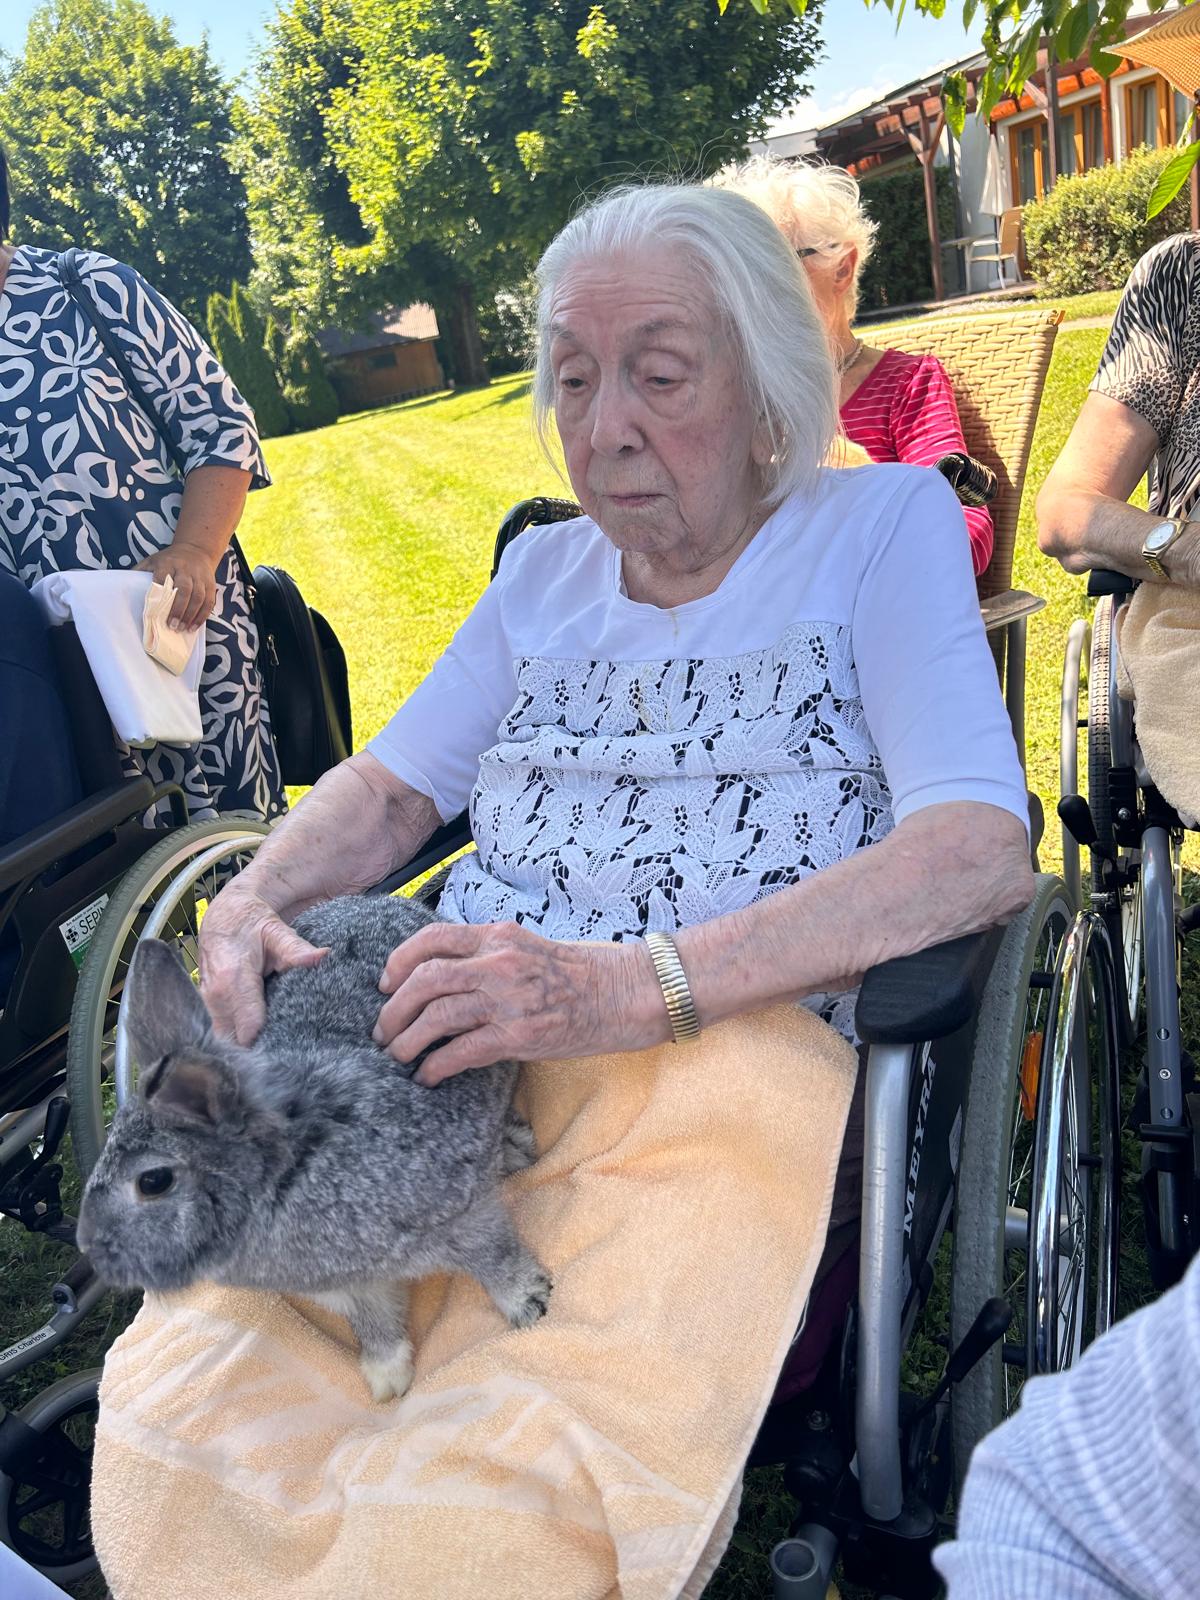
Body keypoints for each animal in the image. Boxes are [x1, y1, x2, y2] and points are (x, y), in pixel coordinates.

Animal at [76, 892, 551, 1403]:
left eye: (153, 1181)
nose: (88, 1246)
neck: (287, 1172)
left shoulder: (459, 1215)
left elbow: (494, 1259)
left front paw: (531, 1303)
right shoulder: (352, 1288)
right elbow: (374, 1324)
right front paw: (387, 1381)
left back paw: (513, 1151)